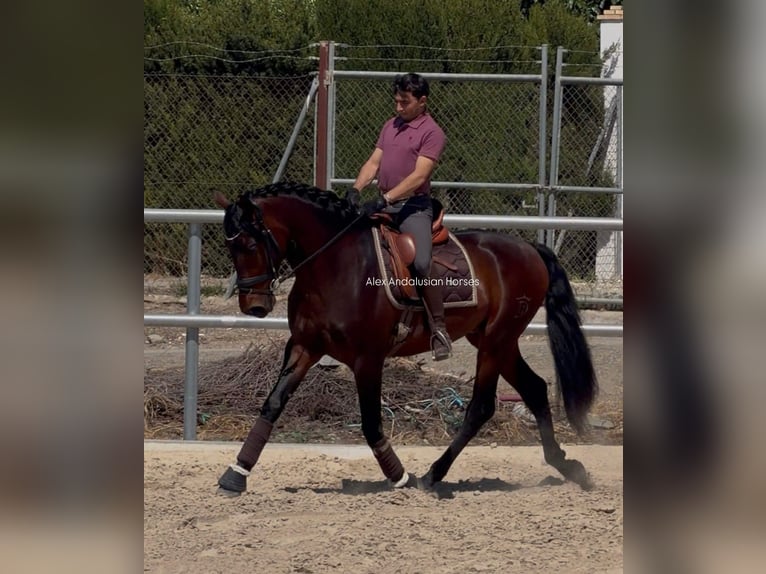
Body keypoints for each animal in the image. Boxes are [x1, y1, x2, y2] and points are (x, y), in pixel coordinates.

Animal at [213, 181, 597, 495]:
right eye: (230, 247)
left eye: (249, 243)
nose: (254, 306)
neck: (335, 264)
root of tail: (530, 249)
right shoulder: (305, 347)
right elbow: (273, 403)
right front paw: (236, 474)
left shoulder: (367, 358)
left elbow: (371, 423)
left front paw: (399, 476)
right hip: (496, 342)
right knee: (535, 389)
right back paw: (568, 466)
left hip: (495, 341)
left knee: (481, 407)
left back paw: (431, 476)